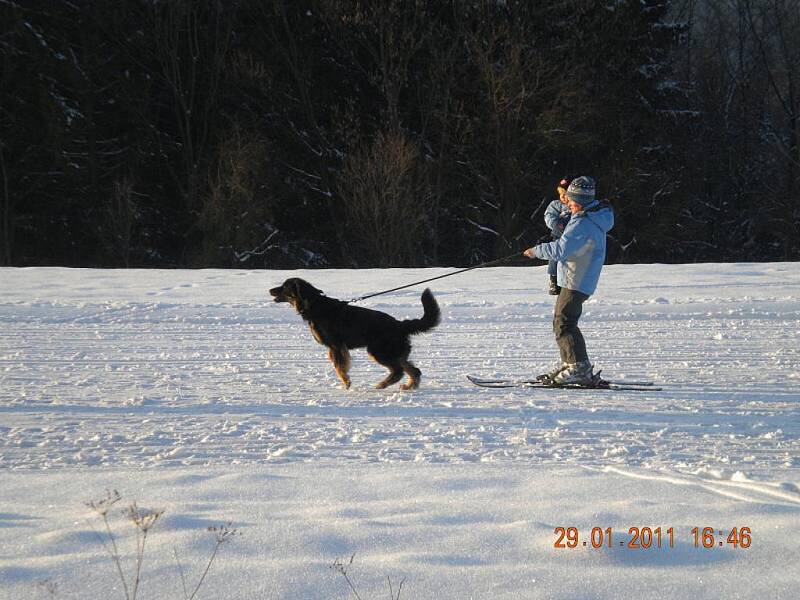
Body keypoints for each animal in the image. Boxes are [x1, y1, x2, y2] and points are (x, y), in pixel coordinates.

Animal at [272, 278, 440, 392]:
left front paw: (346, 383)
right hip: (393, 352)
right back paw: (409, 386)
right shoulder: (336, 348)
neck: (312, 304)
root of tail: (399, 324)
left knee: (398, 371)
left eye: (284, 286)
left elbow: (339, 367)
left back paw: (382, 384)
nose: (270, 290)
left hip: (378, 351)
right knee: (414, 370)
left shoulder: (336, 345)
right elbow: (339, 365)